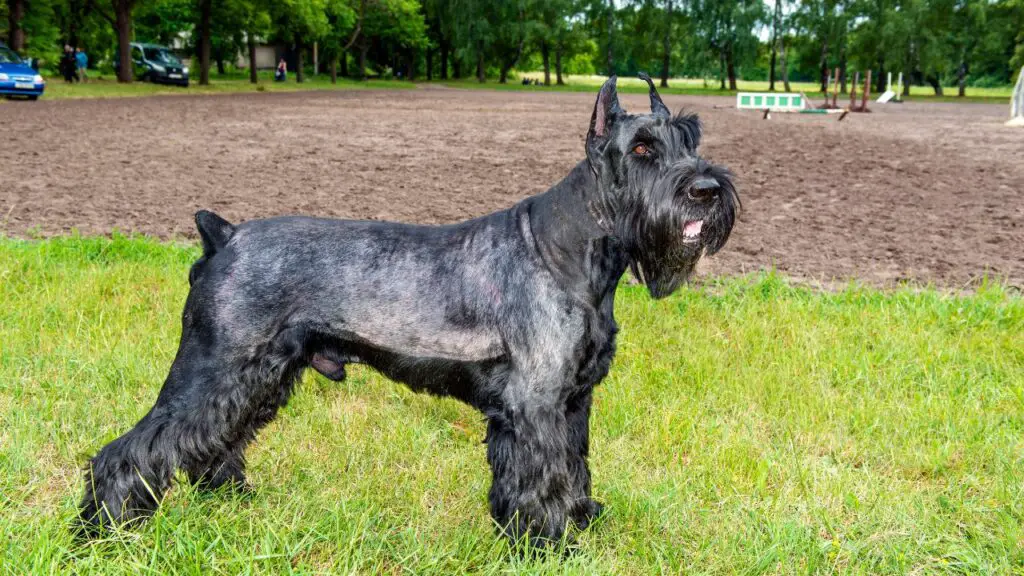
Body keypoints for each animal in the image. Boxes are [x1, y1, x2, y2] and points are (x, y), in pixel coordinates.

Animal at [77, 73, 737, 545]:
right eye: (643, 147)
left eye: (691, 137)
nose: (707, 190)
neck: (571, 250)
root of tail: (225, 235)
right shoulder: (537, 405)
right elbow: (541, 479)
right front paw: (548, 544)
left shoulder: (573, 402)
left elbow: (572, 469)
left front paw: (579, 521)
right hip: (213, 369)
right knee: (129, 451)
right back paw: (101, 532)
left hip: (255, 377)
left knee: (212, 444)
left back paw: (232, 503)